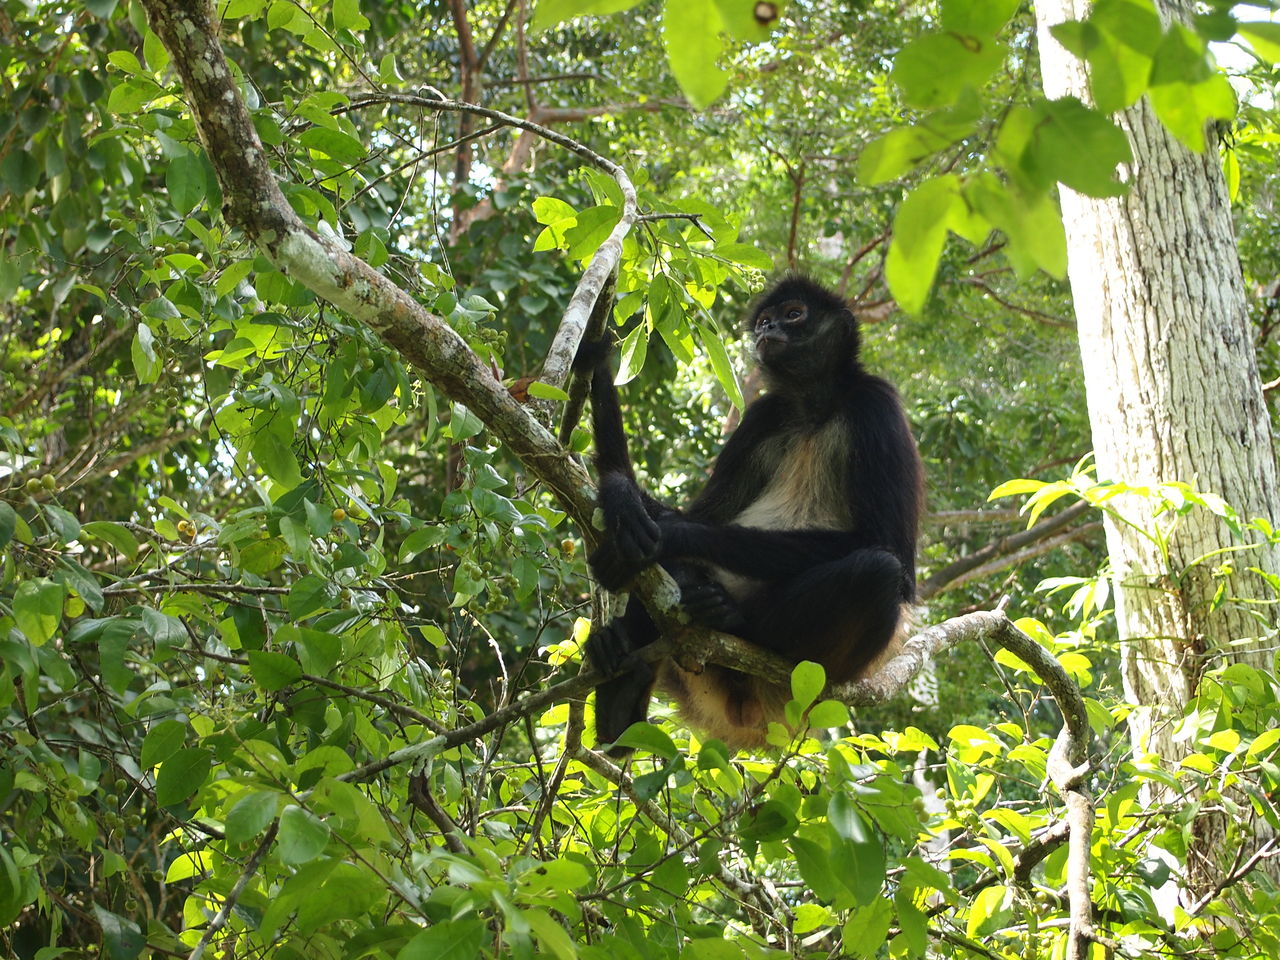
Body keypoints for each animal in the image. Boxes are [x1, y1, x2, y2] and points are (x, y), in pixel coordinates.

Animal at [578, 273, 921, 757]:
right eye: (764, 320)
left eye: (794, 314)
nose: (767, 330)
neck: (813, 407)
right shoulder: (765, 415)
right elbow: (700, 511)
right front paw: (622, 495)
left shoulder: (876, 405)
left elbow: (891, 552)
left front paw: (674, 534)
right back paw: (621, 691)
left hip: (824, 675)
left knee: (879, 571)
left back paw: (727, 616)